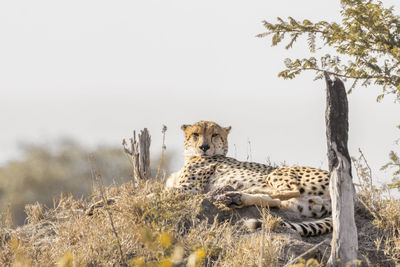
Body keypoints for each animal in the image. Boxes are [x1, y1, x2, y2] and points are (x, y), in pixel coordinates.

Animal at [167, 121, 332, 237]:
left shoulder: (191, 187)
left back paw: (241, 191)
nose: (204, 147)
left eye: (215, 135)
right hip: (299, 205)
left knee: (291, 190)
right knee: (277, 201)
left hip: (279, 171)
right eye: (196, 134)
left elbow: (163, 193)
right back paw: (236, 198)